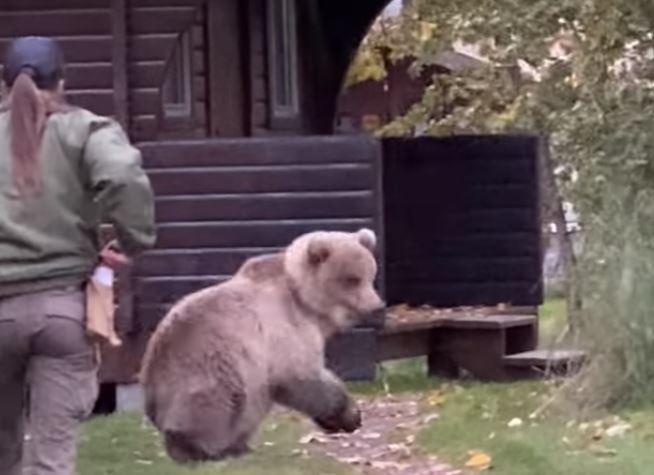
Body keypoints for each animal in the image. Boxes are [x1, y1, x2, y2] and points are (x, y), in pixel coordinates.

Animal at [139, 228, 384, 463]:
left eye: (370, 275)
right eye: (352, 279)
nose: (377, 307)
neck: (305, 301)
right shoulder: (284, 326)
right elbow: (299, 374)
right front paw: (349, 415)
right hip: (207, 368)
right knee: (220, 404)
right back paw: (208, 450)